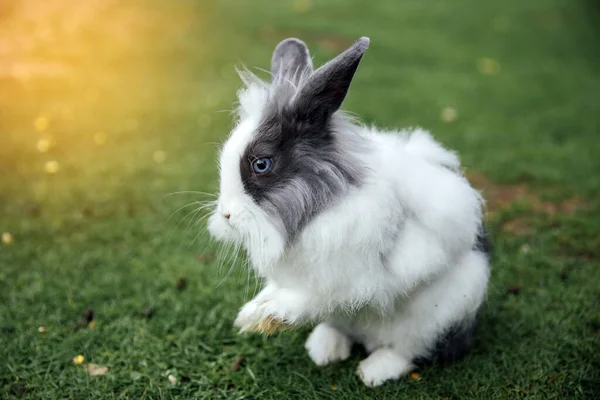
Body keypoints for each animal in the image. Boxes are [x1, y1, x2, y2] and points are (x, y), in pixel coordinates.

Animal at [209, 36, 490, 386]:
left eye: (262, 164)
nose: (226, 215)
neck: (316, 213)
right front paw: (254, 311)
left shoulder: (357, 277)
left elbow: (317, 295)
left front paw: (267, 315)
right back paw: (325, 348)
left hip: (435, 318)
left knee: (407, 351)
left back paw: (374, 371)